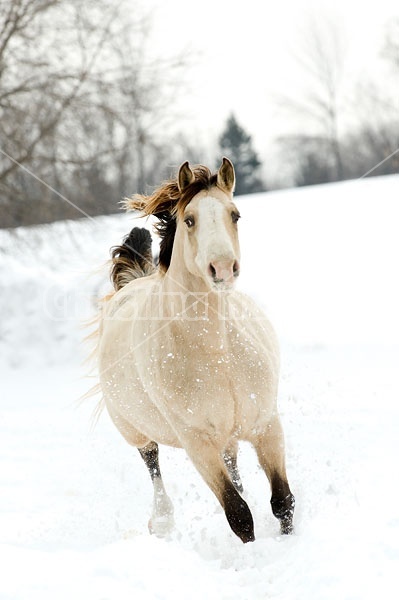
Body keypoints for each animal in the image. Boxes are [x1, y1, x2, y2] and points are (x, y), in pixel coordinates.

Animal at [96, 157, 296, 540]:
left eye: (235, 214)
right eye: (189, 219)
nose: (223, 268)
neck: (217, 352)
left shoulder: (266, 424)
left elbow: (283, 501)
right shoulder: (198, 444)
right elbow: (238, 514)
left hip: (229, 437)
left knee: (236, 469)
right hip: (136, 432)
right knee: (152, 464)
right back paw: (161, 520)